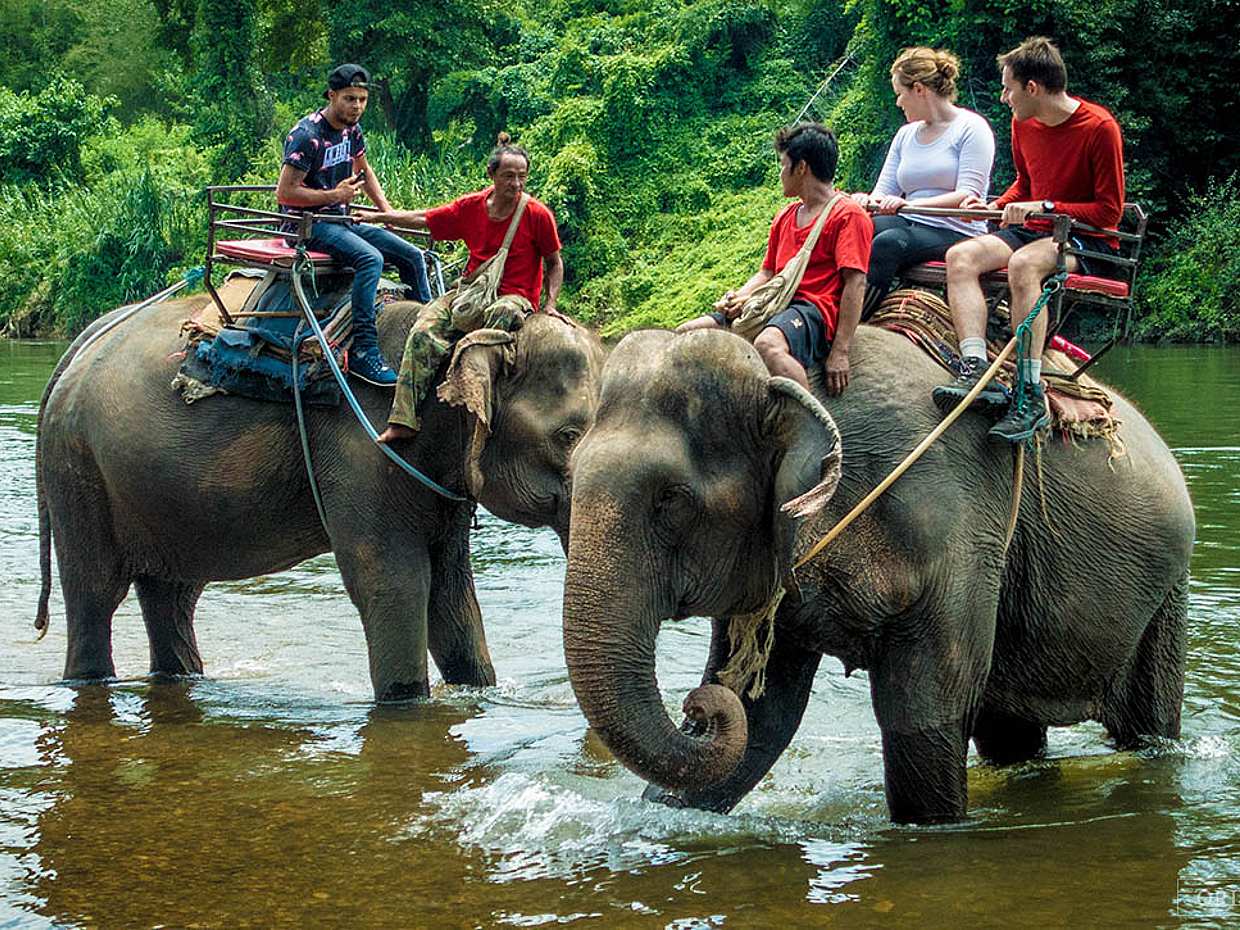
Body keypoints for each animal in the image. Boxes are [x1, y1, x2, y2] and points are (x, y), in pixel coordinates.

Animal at [35, 289, 604, 700]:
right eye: (568, 436)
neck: (452, 333)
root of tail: (82, 344)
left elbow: (452, 592)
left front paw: (478, 689)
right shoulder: (364, 450)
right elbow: (393, 582)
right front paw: (406, 701)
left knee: (171, 594)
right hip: (79, 469)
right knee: (95, 594)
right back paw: (89, 679)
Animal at [561, 325, 1194, 823]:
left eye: (671, 499)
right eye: (569, 471)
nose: (696, 707)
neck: (788, 382)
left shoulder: (954, 530)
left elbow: (923, 716)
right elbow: (762, 716)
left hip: (1165, 592)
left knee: (1146, 726)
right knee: (1010, 734)